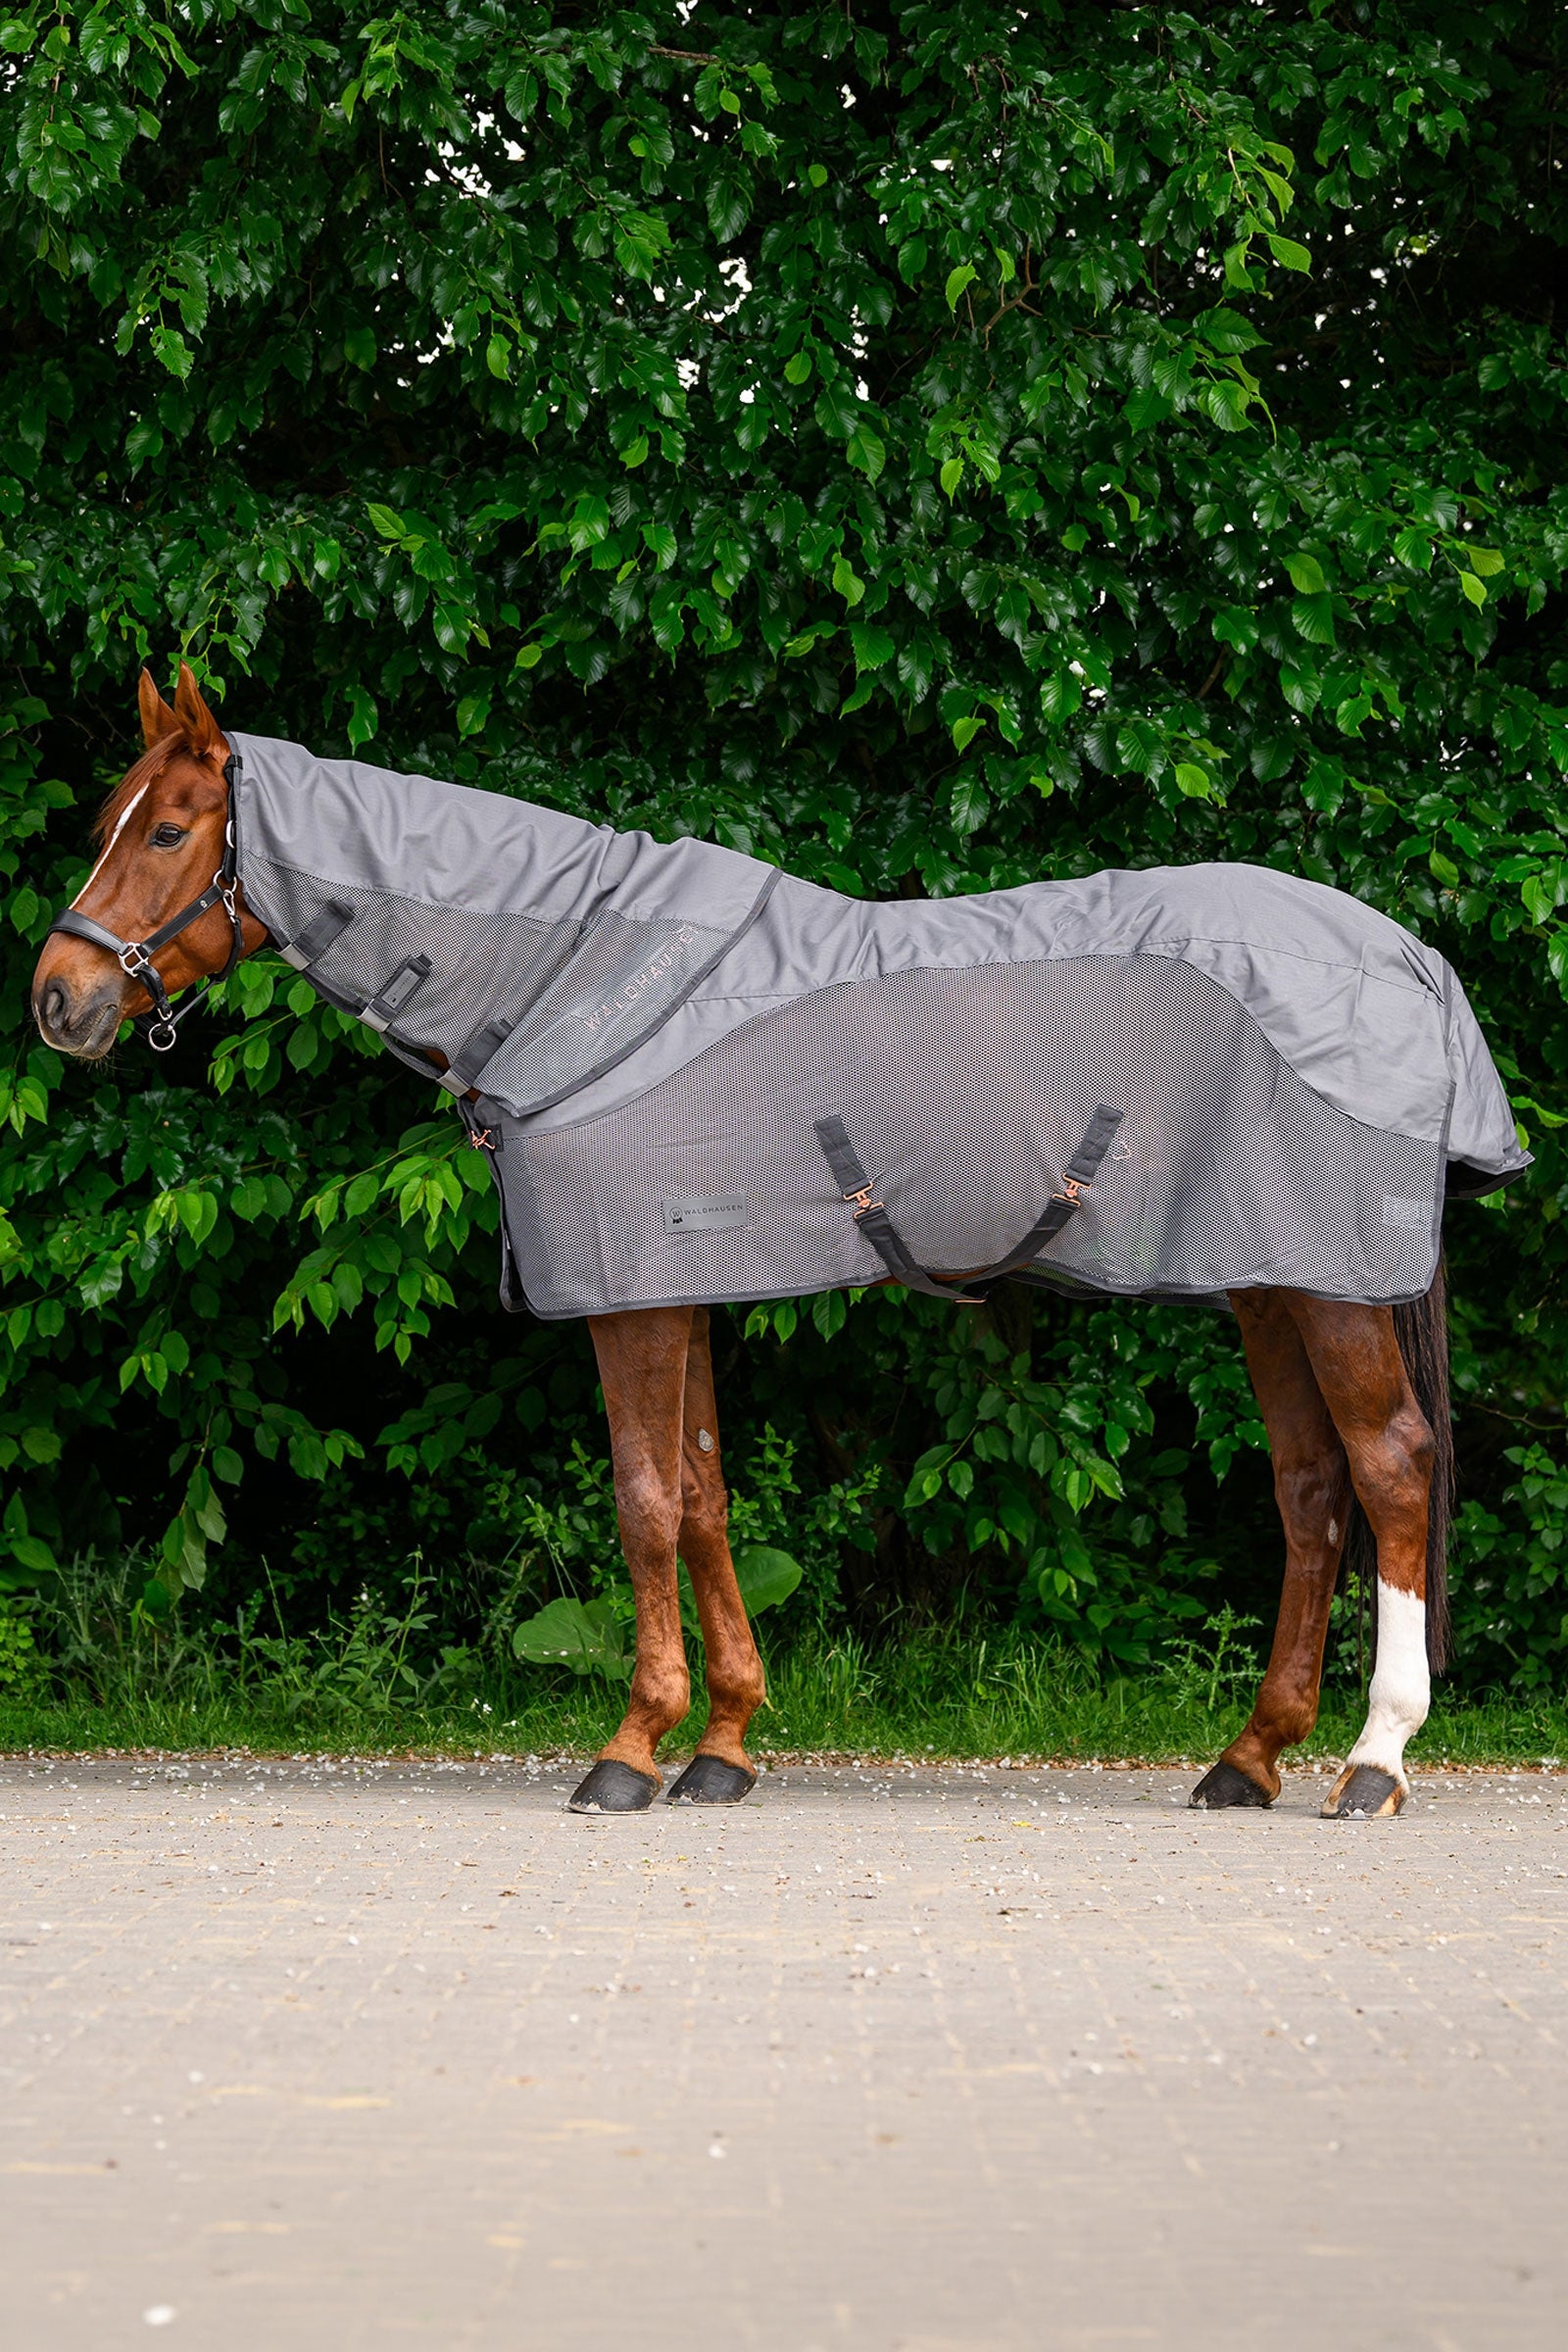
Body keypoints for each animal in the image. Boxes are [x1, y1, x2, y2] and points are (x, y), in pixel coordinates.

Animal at [31, 664, 1506, 1821]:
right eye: (109, 823)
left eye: (169, 830)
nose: (61, 999)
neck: (577, 974)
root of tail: (1407, 956)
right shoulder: (678, 1281)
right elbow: (702, 1497)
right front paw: (725, 1744)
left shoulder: (630, 1296)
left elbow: (642, 1502)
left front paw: (630, 1749)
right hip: (1271, 1279)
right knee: (1309, 1491)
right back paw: (1247, 1759)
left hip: (1328, 1287)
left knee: (1388, 1471)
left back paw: (1373, 1761)